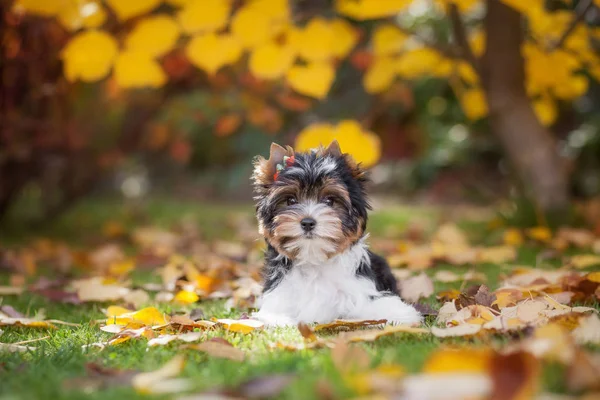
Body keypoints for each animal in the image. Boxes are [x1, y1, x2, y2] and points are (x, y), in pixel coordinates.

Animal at [252, 141, 422, 328]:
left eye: (329, 201)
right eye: (290, 201)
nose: (308, 222)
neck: (314, 259)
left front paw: (399, 313)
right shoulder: (281, 293)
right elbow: (274, 312)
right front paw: (281, 319)